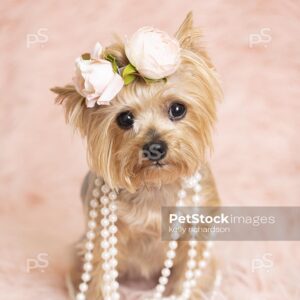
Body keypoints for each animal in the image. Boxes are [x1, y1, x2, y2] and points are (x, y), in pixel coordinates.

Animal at [51, 11, 221, 300]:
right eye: (125, 118)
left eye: (178, 109)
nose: (155, 147)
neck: (155, 185)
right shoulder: (102, 232)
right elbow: (101, 272)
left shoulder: (198, 226)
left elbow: (192, 272)